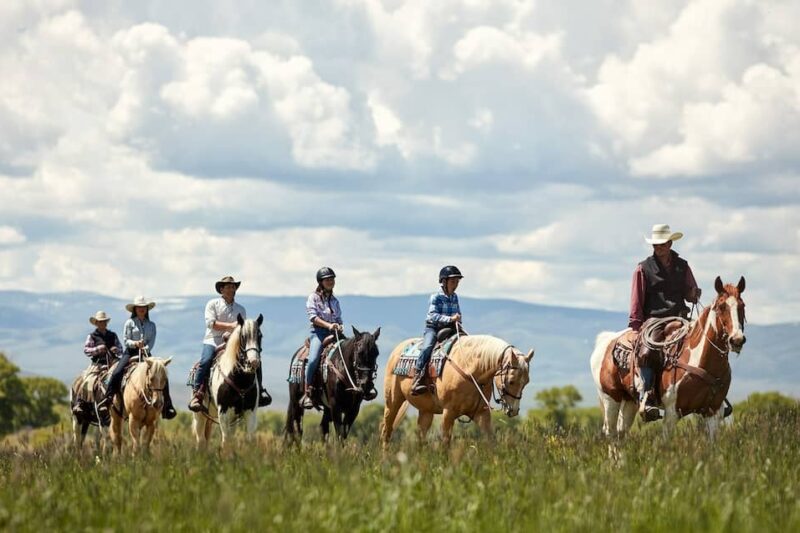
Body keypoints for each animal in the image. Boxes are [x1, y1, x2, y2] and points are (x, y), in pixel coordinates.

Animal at [192, 314, 264, 446]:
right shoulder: (224, 413)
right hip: (200, 415)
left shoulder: (250, 411)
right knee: (201, 440)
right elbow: (226, 441)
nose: (254, 362)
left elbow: (250, 439)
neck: (240, 380)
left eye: (260, 336)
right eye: (243, 336)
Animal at [380, 334, 532, 446]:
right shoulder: (449, 412)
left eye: (526, 382)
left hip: (426, 411)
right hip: (392, 402)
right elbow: (446, 442)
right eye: (511, 381)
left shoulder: (481, 413)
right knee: (386, 431)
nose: (514, 410)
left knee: (421, 436)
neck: (470, 369)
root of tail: (397, 350)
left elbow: (490, 441)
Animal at [592, 276, 748, 438]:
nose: (737, 340)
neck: (701, 362)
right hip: (610, 397)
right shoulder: (672, 412)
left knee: (621, 432)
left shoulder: (713, 413)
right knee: (610, 432)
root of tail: (606, 340)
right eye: (721, 306)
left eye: (742, 306)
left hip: (629, 400)